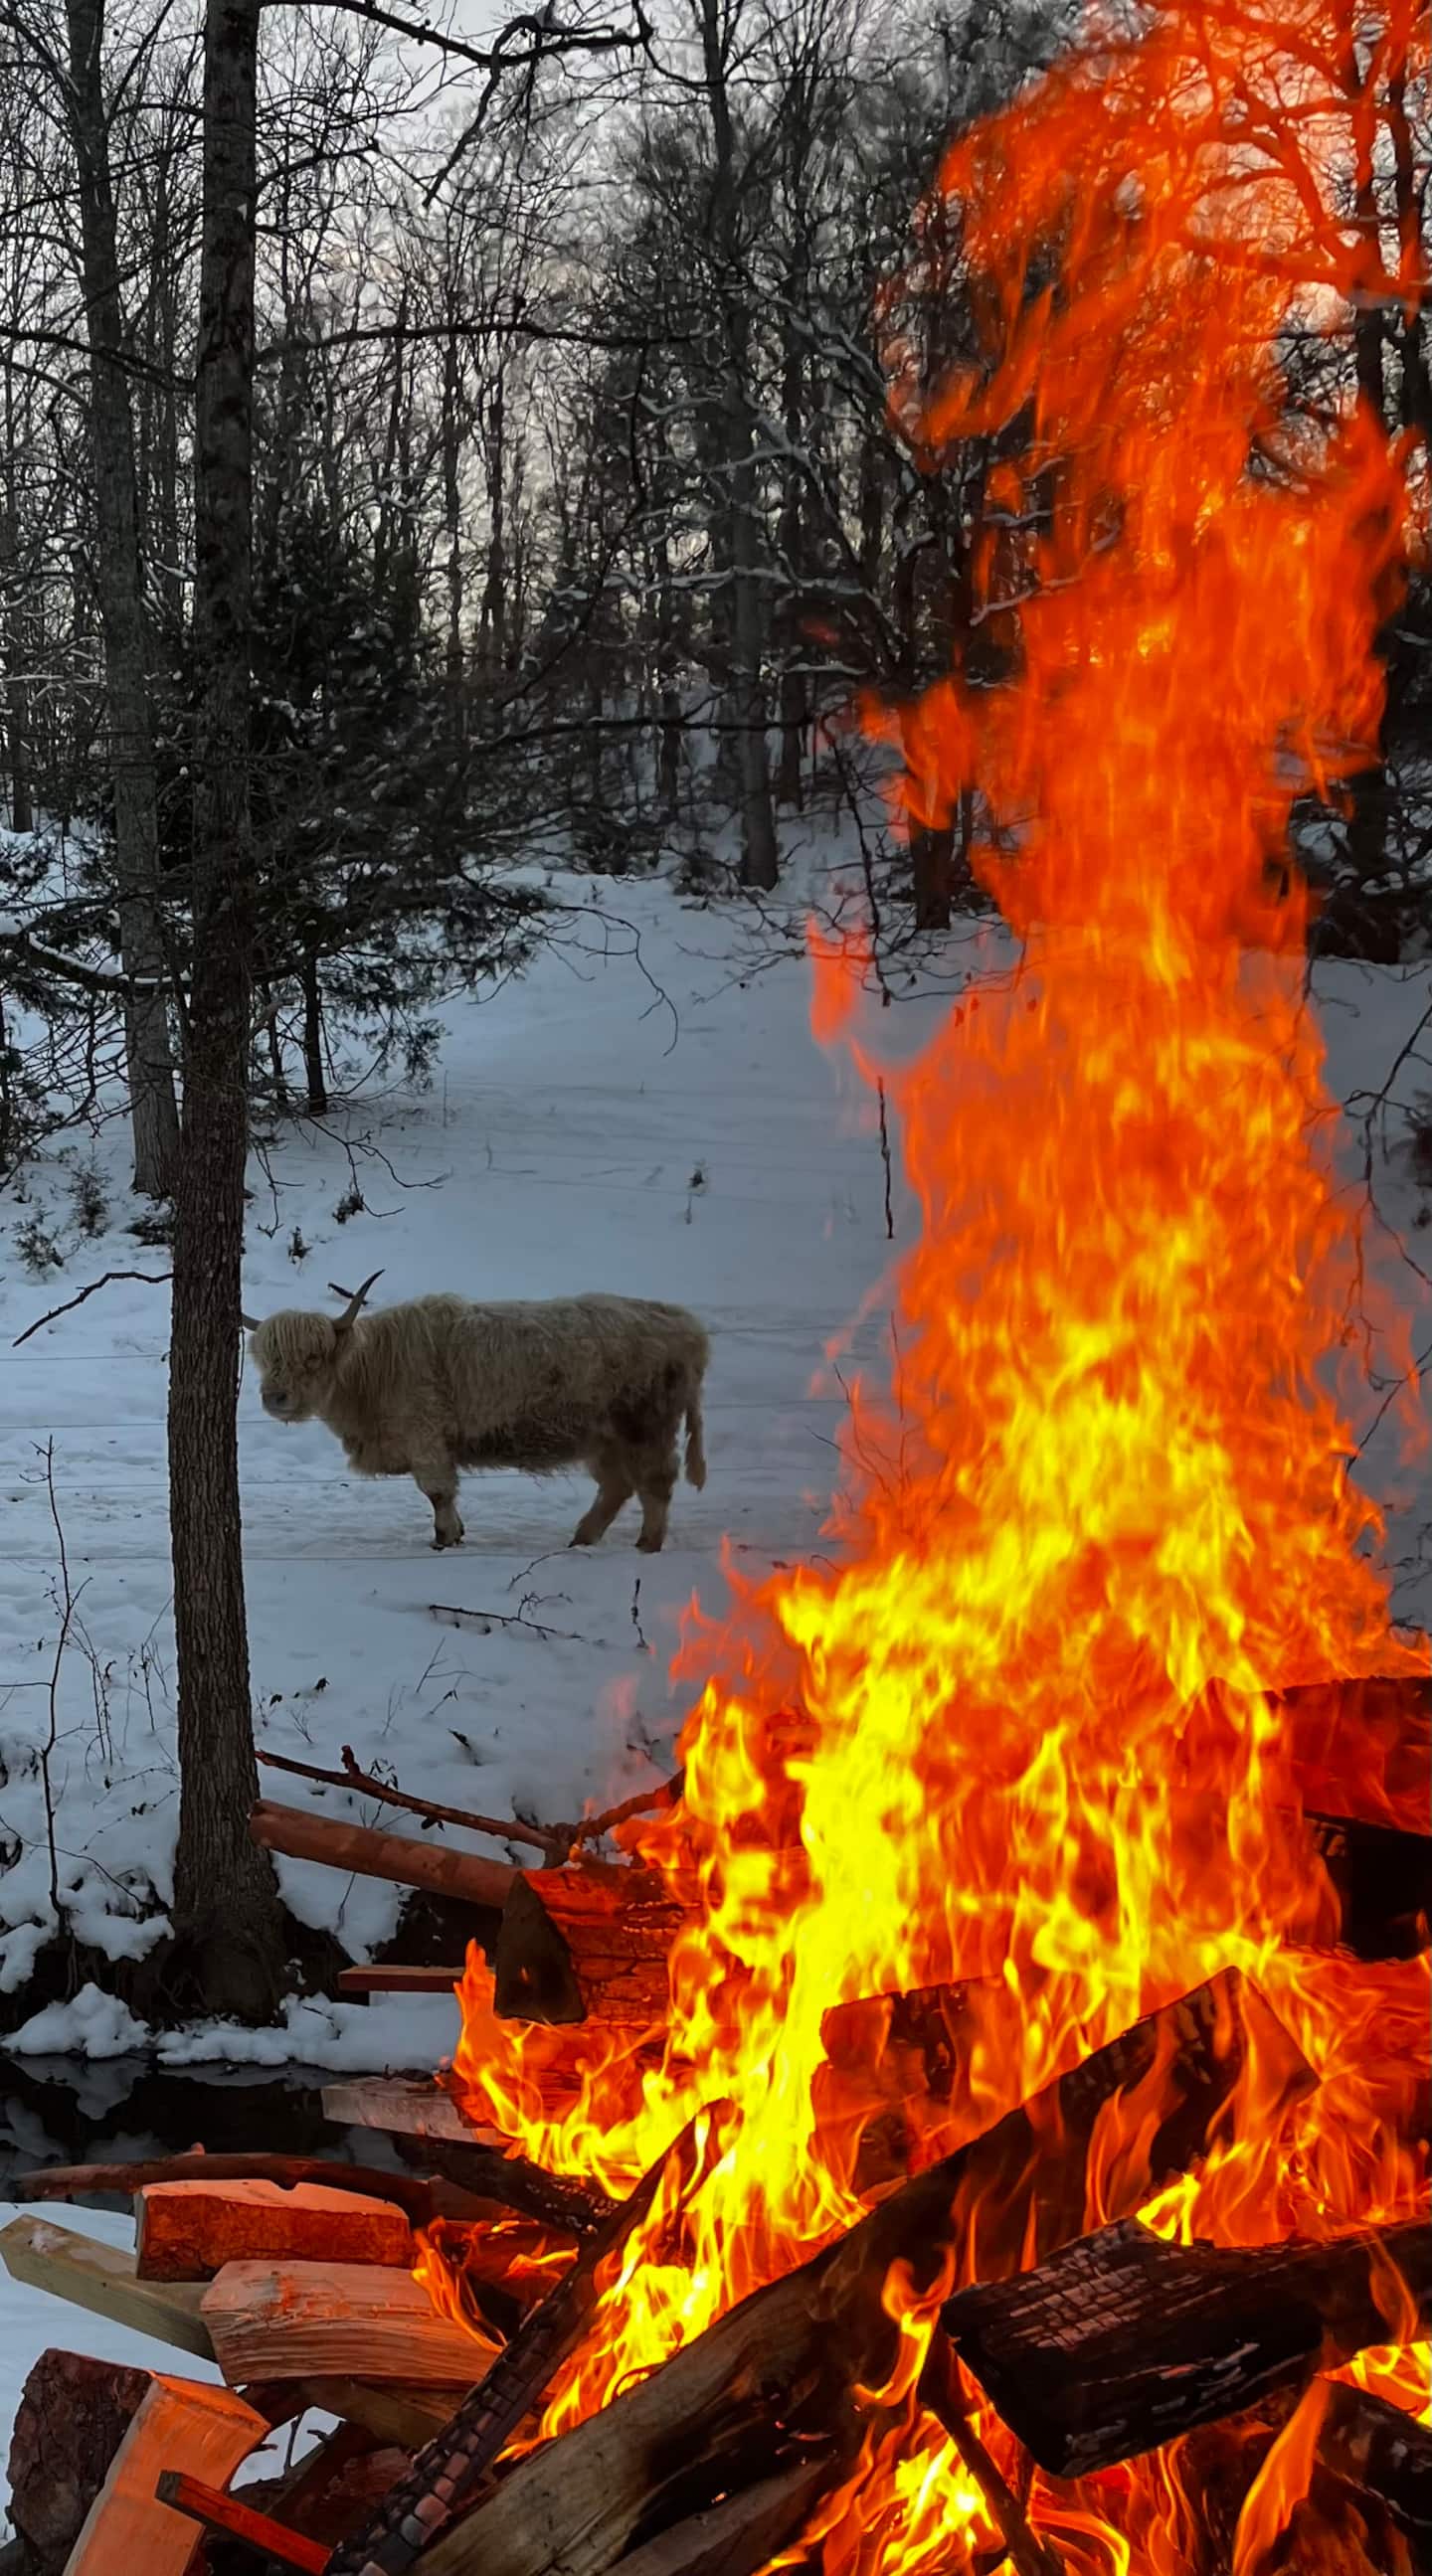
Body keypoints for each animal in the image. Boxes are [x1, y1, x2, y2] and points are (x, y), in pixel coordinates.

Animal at [243, 1271, 708, 1553]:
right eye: (267, 1357)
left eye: (312, 1357)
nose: (275, 1396)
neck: (372, 1372)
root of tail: (683, 1322)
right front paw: (458, 1531)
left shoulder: (426, 1437)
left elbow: (437, 1492)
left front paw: (445, 1538)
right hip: (605, 1436)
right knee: (617, 1486)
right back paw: (581, 1539)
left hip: (646, 1425)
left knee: (655, 1482)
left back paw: (647, 1544)